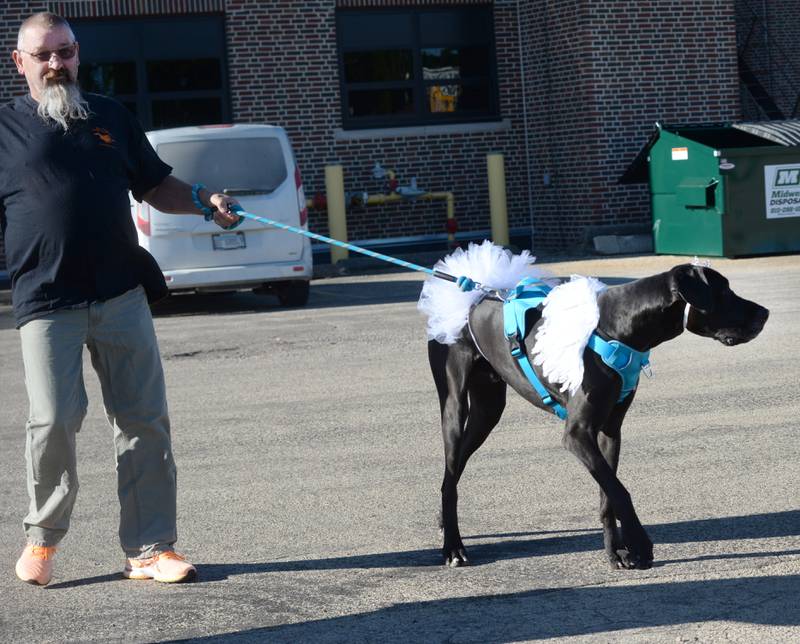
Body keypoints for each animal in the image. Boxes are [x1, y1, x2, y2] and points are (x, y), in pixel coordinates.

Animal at [428, 264, 772, 572]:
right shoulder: (577, 434)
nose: (765, 313)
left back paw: (446, 524)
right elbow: (620, 491)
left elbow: (609, 495)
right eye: (723, 292)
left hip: (488, 409)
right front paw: (640, 544)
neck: (619, 328)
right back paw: (453, 548)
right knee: (450, 470)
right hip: (454, 405)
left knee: (452, 474)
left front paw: (616, 551)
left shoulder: (609, 431)